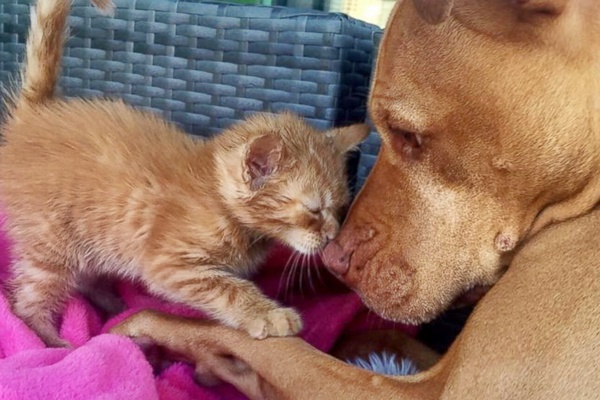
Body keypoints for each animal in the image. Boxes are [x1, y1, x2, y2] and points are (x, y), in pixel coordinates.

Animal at [0, 0, 368, 346]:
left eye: (340, 208)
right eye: (314, 210)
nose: (333, 235)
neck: (219, 198)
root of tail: (36, 117)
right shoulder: (170, 265)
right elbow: (228, 288)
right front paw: (269, 314)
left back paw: (111, 302)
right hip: (51, 244)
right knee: (28, 302)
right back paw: (53, 341)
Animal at [111, 0, 600, 398]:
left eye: (406, 133)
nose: (334, 259)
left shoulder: (434, 391)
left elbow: (259, 341)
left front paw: (144, 327)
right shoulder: (433, 366)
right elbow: (375, 340)